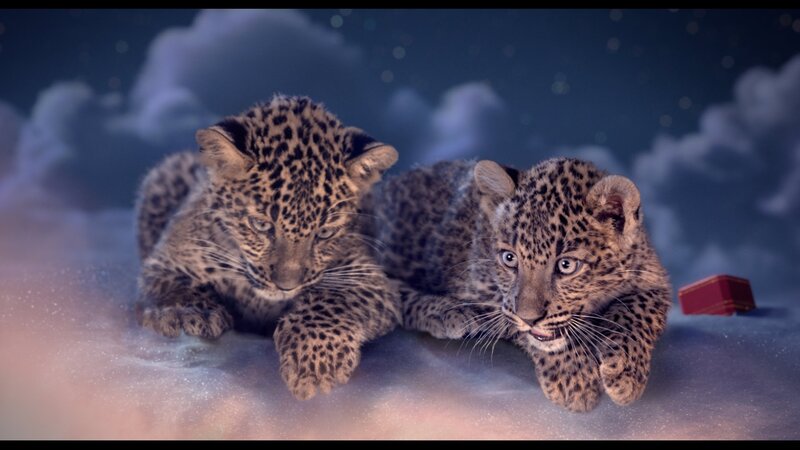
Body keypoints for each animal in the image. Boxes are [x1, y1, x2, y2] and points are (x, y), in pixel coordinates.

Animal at [134, 95, 401, 400]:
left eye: (324, 233)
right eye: (261, 225)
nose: (286, 286)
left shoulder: (367, 278)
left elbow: (332, 300)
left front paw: (314, 362)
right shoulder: (170, 257)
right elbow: (176, 283)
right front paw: (190, 313)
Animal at [363, 157, 672, 412]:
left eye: (566, 265)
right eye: (510, 259)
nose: (530, 318)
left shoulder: (654, 278)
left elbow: (639, 311)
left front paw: (626, 374)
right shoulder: (495, 300)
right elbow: (525, 328)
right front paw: (574, 380)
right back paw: (449, 313)